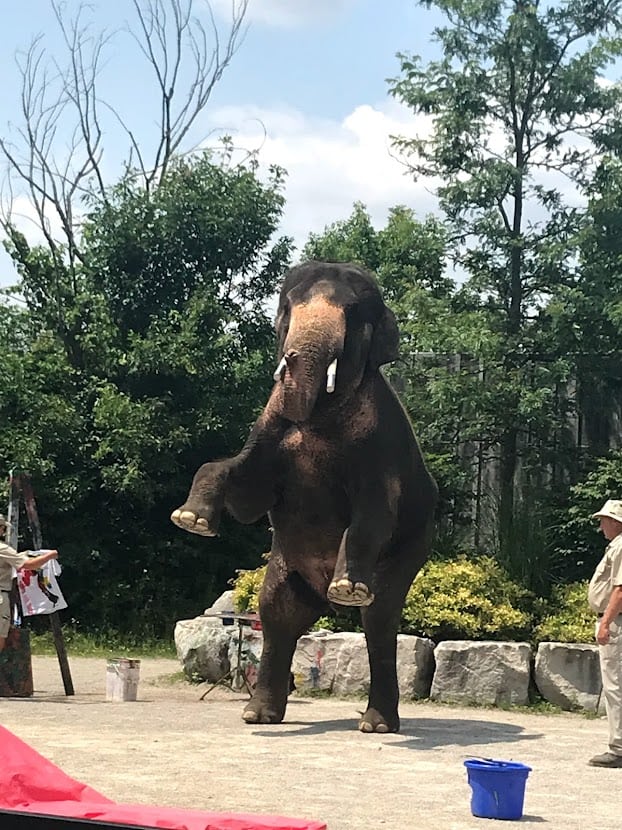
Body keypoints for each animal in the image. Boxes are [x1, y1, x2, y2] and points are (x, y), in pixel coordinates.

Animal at [171, 260, 438, 736]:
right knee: (279, 612)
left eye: (355, 314)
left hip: (415, 545)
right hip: (286, 570)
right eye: (286, 308)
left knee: (378, 619)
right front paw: (191, 521)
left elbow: (374, 513)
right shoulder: (267, 427)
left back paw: (375, 721)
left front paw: (349, 588)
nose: (291, 358)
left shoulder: (382, 447)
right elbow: (246, 489)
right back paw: (258, 716)